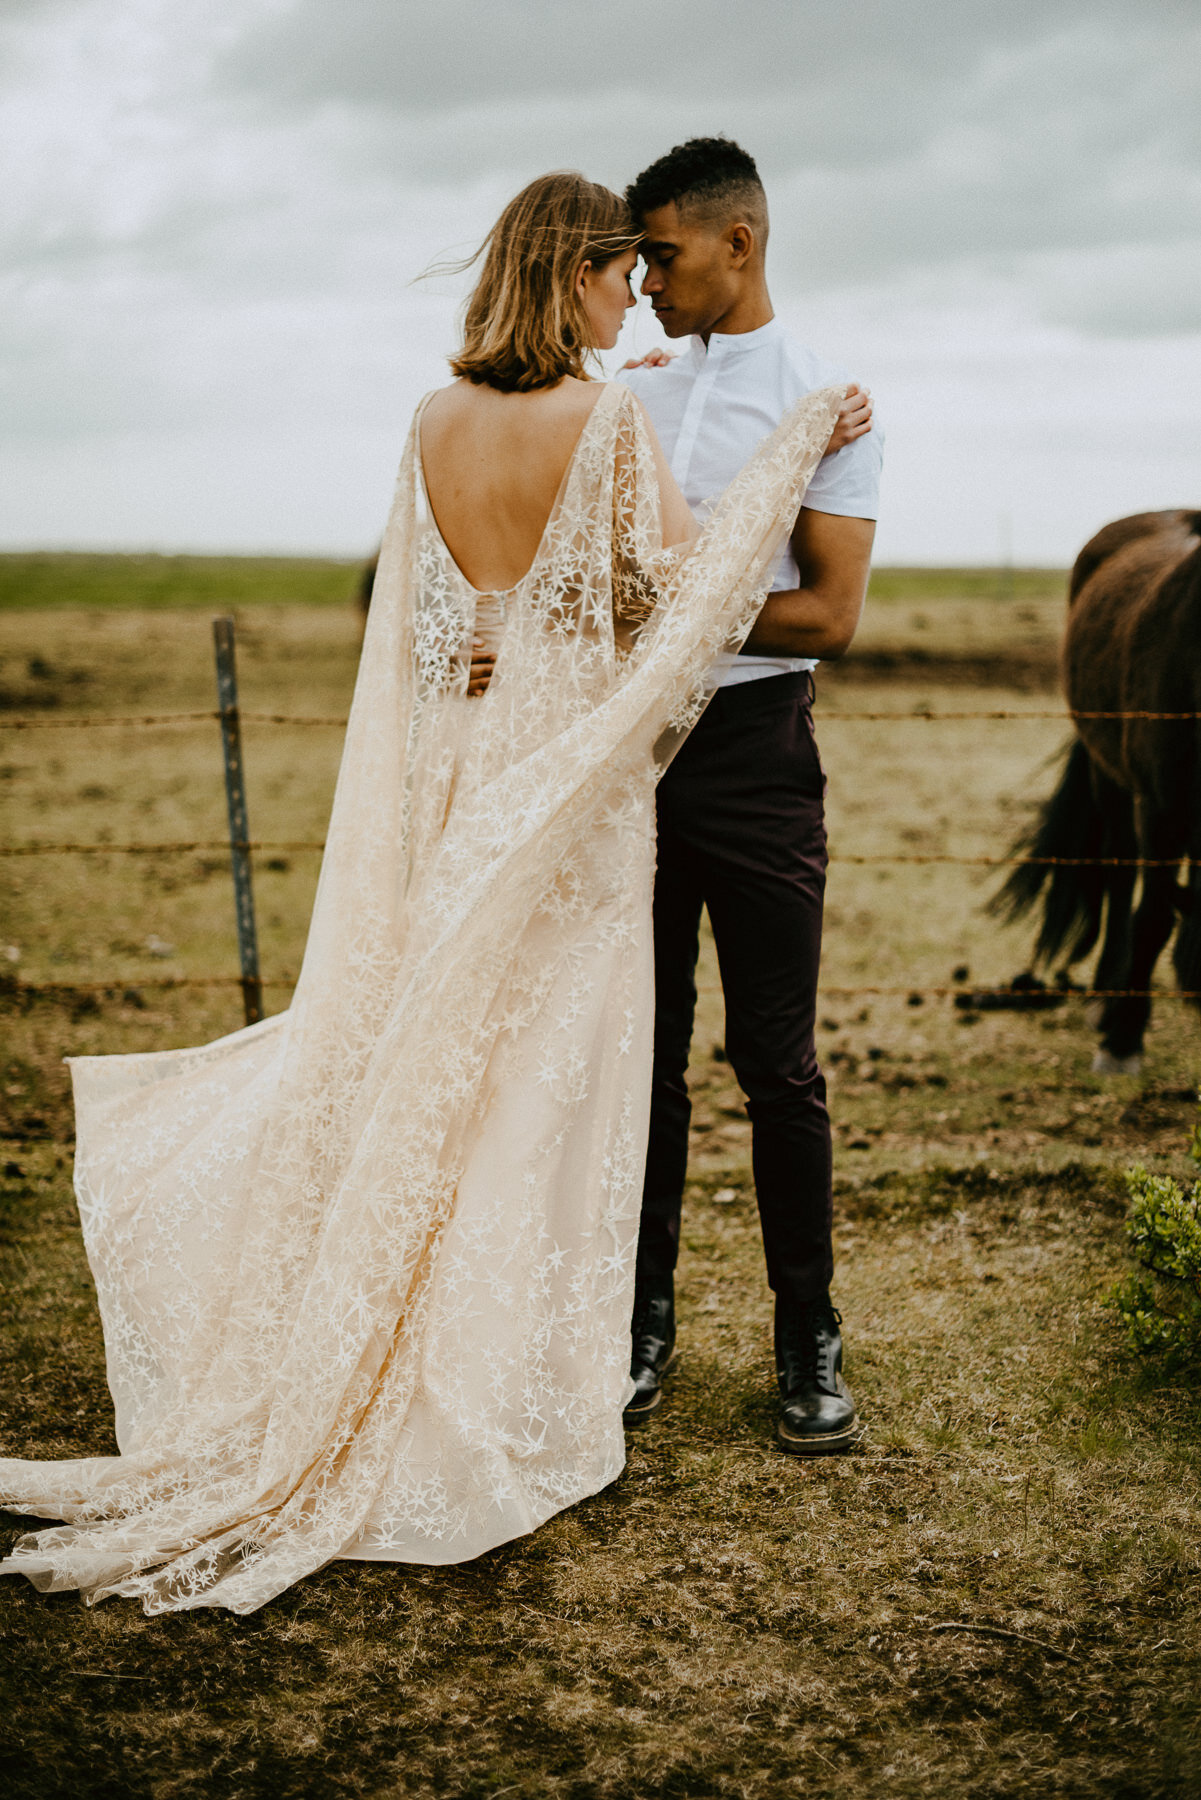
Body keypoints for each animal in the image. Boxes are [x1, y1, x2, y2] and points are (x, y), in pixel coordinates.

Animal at [993, 507, 1201, 1065]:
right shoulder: (1159, 810)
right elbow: (1152, 917)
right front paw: (1123, 1037)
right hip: (1110, 780)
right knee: (1119, 872)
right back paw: (1109, 997)